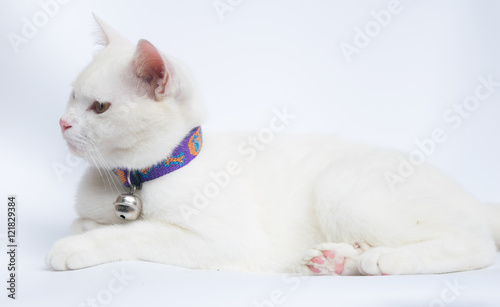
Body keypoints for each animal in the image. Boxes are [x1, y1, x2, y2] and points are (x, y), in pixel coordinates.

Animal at [47, 16, 500, 276]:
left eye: (99, 107)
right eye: (71, 95)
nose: (62, 122)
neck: (134, 178)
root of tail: (476, 201)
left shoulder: (229, 241)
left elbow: (138, 234)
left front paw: (75, 247)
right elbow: (88, 223)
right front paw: (87, 229)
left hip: (340, 187)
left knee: (477, 246)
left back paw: (381, 260)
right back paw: (340, 259)